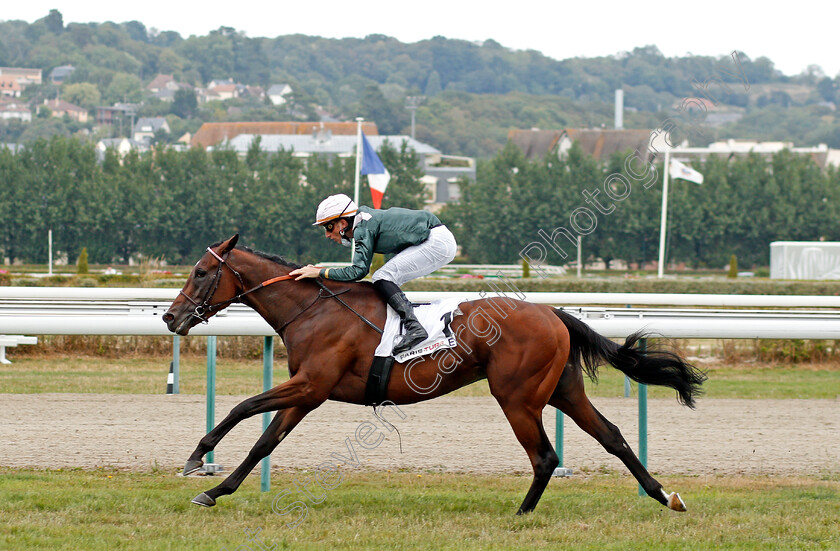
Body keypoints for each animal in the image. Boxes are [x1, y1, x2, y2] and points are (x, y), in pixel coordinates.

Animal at [161, 235, 704, 516]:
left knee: (545, 456)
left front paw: (196, 458)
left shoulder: (312, 385)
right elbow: (263, 442)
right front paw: (215, 490)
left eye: (201, 272)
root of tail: (551, 311)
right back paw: (665, 497)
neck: (312, 309)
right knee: (613, 437)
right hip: (562, 390)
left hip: (518, 397)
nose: (170, 318)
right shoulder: (308, 392)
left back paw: (521, 514)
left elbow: (243, 406)